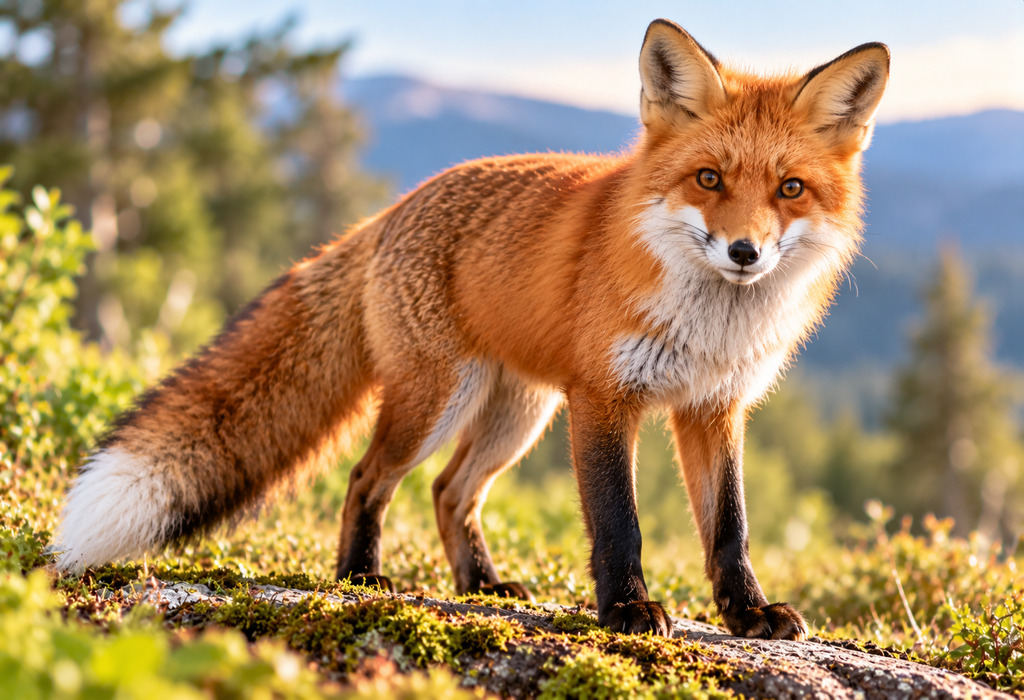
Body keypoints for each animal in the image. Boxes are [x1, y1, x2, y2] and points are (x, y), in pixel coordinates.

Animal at [53, 20, 889, 640]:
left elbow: (729, 529)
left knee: (450, 492)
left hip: (517, 414)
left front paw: (748, 614)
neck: (710, 324)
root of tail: (392, 210)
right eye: (708, 179)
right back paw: (361, 576)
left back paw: (481, 585)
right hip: (440, 401)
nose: (745, 252)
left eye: (790, 189)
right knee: (369, 478)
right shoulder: (603, 399)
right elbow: (618, 521)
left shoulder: (715, 408)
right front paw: (625, 610)